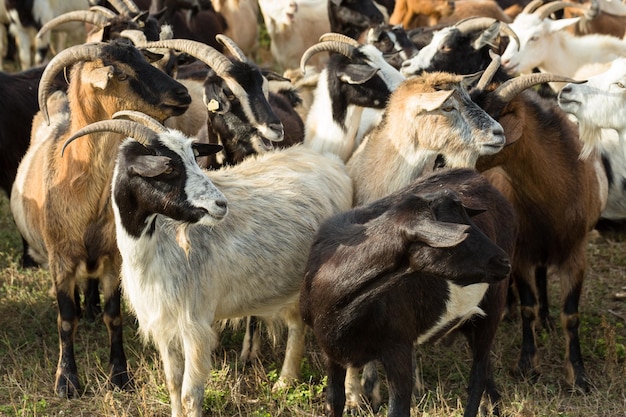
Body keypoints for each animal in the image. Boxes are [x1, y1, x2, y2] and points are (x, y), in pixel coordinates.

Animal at [9, 38, 190, 396]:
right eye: (120, 73)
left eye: (144, 59)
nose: (183, 94)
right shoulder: (61, 259)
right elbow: (66, 319)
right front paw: (67, 381)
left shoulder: (112, 259)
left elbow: (113, 316)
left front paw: (120, 376)